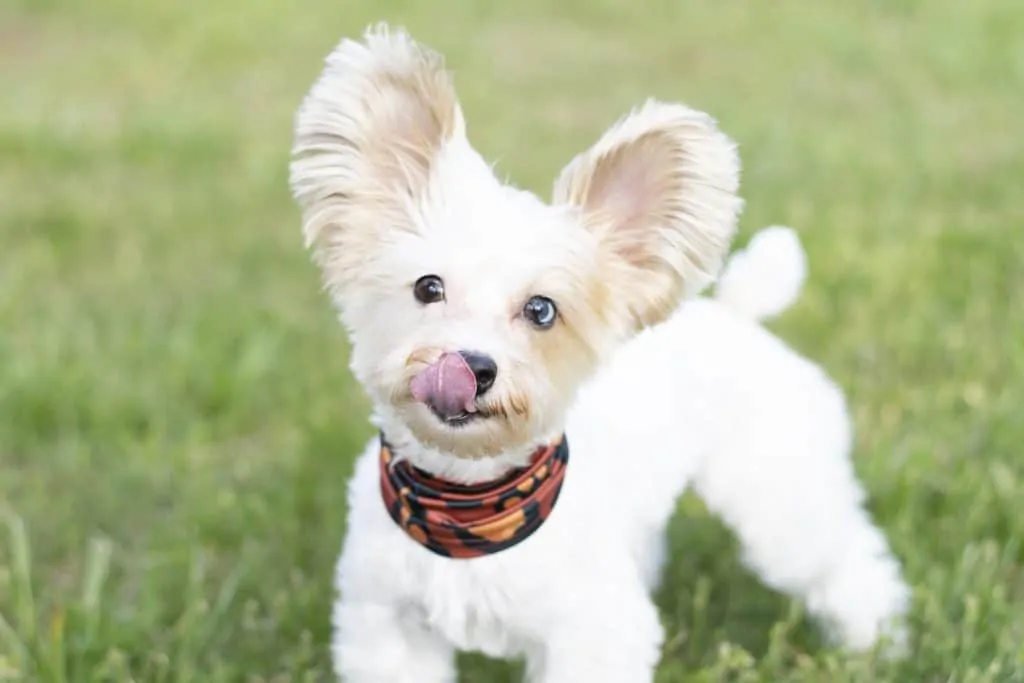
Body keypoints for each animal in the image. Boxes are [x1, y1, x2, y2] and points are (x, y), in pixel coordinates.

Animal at [288, 24, 913, 679]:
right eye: (427, 288)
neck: (468, 510)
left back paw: (877, 644)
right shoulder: (387, 625)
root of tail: (735, 310)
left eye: (542, 310)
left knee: (848, 561)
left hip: (780, 497)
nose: (471, 367)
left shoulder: (595, 632)